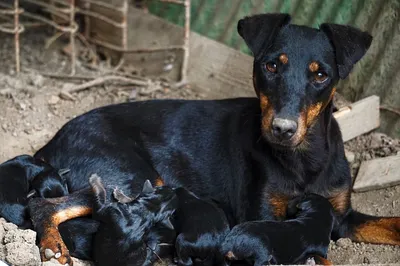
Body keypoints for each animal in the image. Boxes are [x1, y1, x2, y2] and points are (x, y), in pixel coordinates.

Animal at [22, 11, 400, 264]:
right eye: (271, 66)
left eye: (320, 75)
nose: (282, 128)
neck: (304, 157)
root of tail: (54, 140)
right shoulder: (269, 218)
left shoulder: (339, 216)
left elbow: (391, 224)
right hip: (129, 177)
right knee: (45, 206)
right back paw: (54, 246)